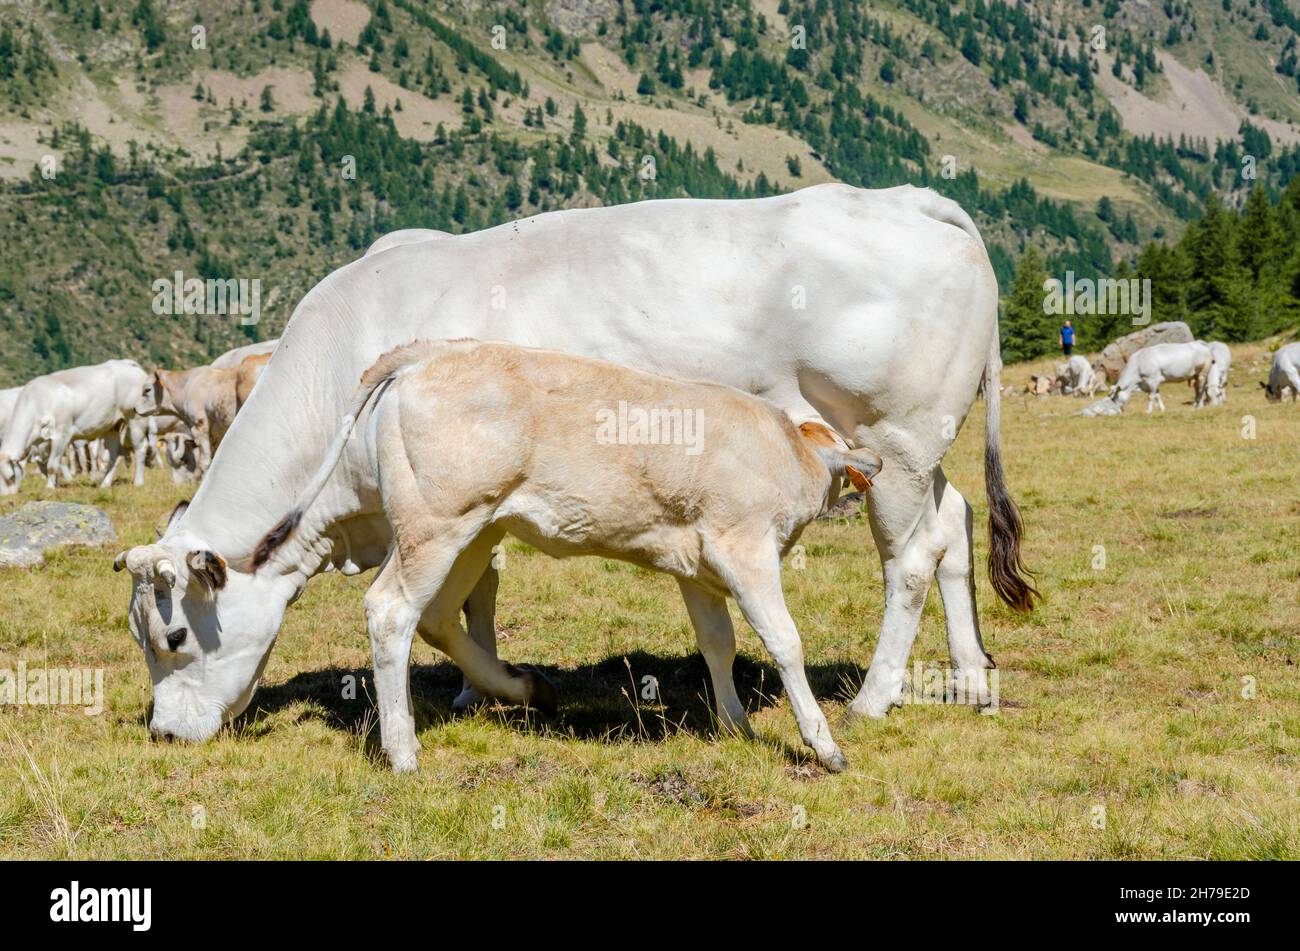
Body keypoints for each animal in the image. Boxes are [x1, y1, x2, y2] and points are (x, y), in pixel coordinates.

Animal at [0, 359, 148, 494]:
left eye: (11, 477)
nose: (7, 496)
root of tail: (127, 364)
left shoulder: (62, 434)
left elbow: (52, 465)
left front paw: (50, 488)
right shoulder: (46, 442)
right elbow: (52, 463)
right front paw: (55, 485)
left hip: (136, 418)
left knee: (140, 448)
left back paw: (138, 482)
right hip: (112, 426)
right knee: (114, 455)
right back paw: (105, 484)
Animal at [249, 339, 883, 772]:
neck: (786, 452)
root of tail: (434, 349)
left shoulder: (698, 569)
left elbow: (717, 646)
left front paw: (735, 725)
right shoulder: (745, 549)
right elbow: (785, 642)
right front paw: (823, 745)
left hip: (466, 534)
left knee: (435, 617)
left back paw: (520, 689)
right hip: (435, 529)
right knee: (390, 612)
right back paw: (403, 751)